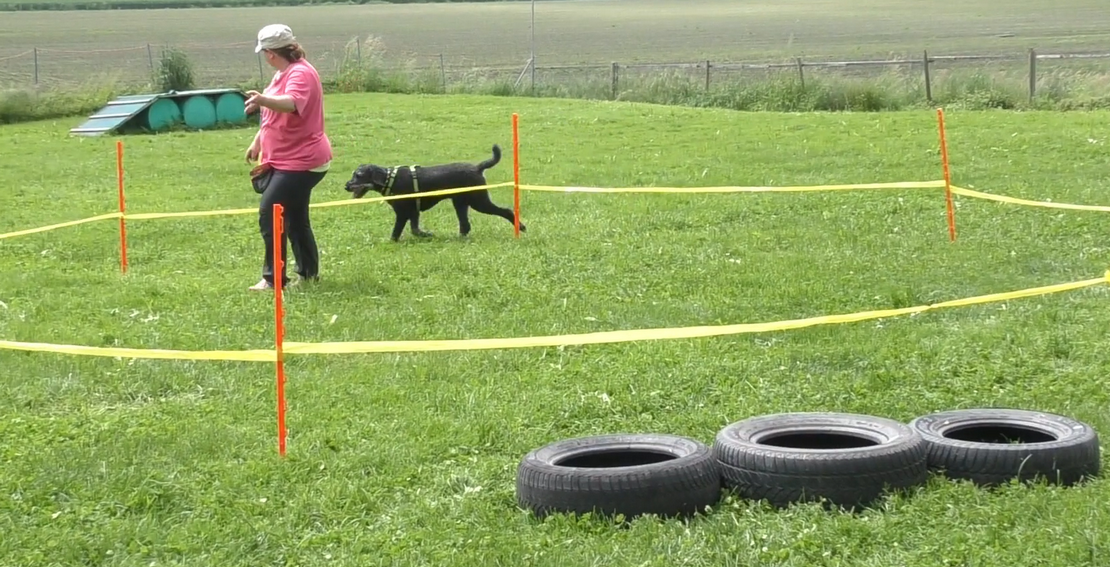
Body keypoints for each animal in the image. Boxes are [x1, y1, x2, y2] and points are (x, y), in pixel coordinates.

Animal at [344, 144, 525, 241]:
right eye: (353, 174)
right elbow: (415, 229)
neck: (389, 179)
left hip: (479, 201)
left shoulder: (403, 213)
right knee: (465, 225)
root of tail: (477, 167)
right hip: (461, 203)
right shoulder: (413, 212)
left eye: (358, 175)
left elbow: (397, 232)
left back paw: (521, 226)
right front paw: (426, 234)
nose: (346, 186)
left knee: (506, 211)